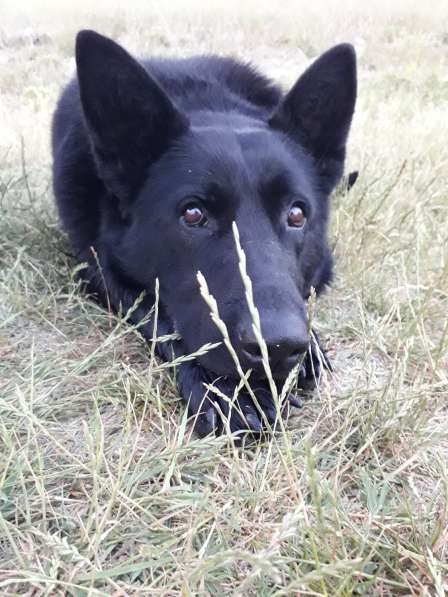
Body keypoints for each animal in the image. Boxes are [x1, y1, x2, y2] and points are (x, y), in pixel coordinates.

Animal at [51, 30, 356, 436]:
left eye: (296, 214)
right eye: (193, 214)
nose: (276, 347)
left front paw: (310, 349)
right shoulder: (97, 266)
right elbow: (158, 315)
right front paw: (225, 389)